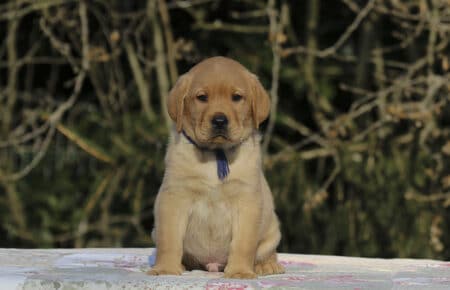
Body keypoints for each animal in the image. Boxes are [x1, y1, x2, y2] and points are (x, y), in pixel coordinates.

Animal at [151, 56, 284, 278]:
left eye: (237, 97)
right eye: (202, 97)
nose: (220, 120)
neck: (216, 155)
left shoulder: (247, 202)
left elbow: (243, 244)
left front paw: (240, 272)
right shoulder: (174, 197)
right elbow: (169, 239)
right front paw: (166, 269)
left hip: (272, 230)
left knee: (267, 251)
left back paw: (267, 265)